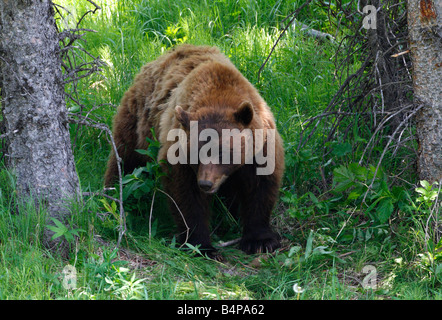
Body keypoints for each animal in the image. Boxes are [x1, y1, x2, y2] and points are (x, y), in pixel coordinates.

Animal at [104, 45, 284, 256]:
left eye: (223, 152)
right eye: (197, 155)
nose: (206, 183)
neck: (218, 96)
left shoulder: (261, 146)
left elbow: (260, 187)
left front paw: (260, 241)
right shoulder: (178, 150)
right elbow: (187, 195)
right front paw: (201, 245)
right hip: (139, 119)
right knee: (125, 158)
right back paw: (113, 195)